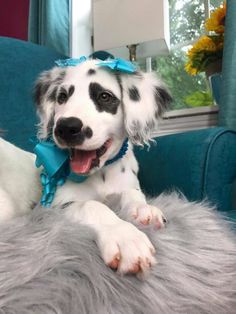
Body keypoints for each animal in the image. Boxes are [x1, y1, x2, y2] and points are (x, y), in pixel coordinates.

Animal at [0, 58, 171, 274]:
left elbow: (132, 194)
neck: (101, 174)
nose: (66, 127)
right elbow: (92, 205)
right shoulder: (55, 207)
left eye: (104, 96)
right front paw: (125, 236)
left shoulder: (126, 185)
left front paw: (143, 209)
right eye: (62, 97)